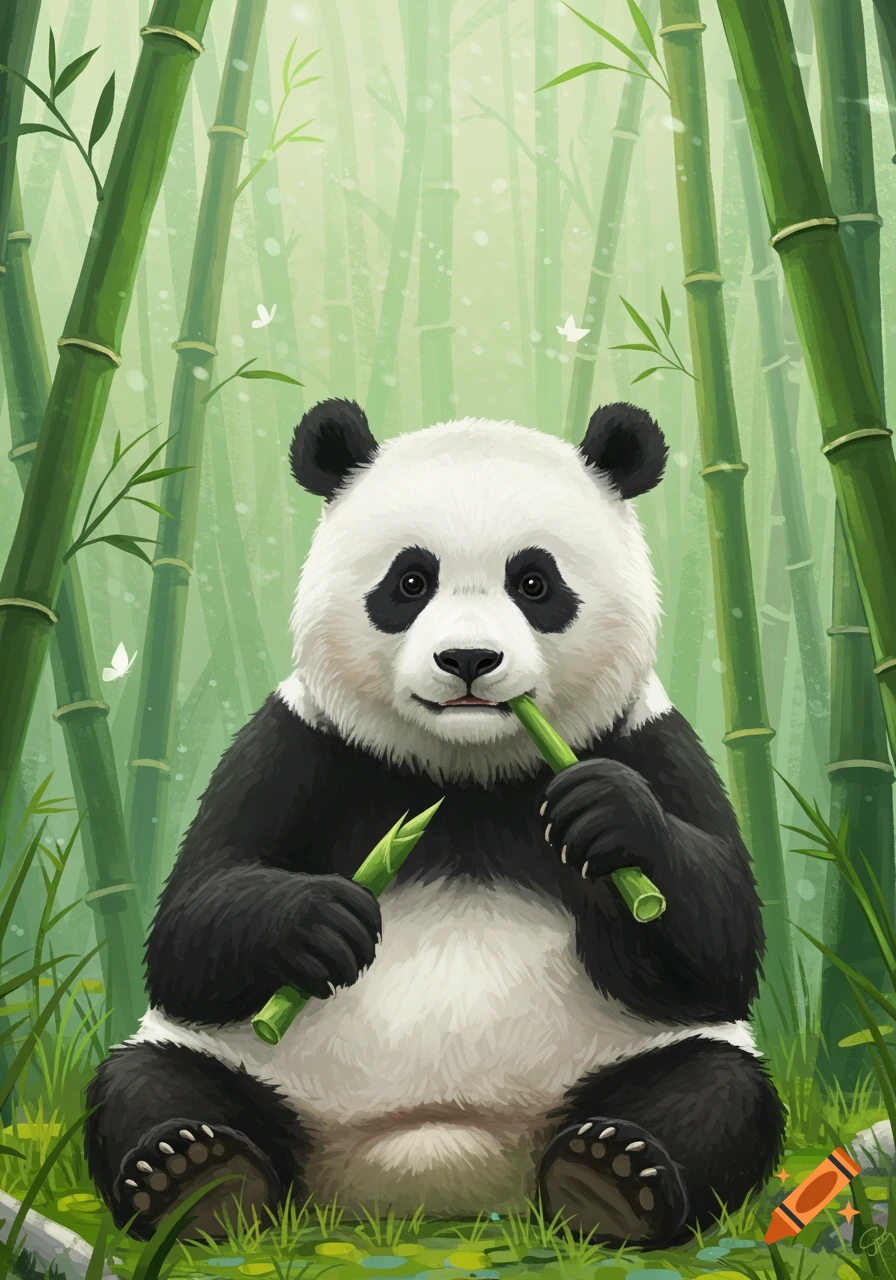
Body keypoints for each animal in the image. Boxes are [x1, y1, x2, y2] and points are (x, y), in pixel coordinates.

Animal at [85, 398, 785, 1248]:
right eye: (410, 581)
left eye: (534, 581)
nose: (469, 660)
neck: (466, 773)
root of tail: (433, 1171)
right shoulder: (296, 744)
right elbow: (192, 924)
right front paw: (320, 922)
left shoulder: (648, 740)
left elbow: (717, 946)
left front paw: (610, 818)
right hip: (249, 1065)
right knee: (148, 1079)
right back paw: (197, 1179)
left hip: (611, 1065)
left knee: (716, 1087)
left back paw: (611, 1178)